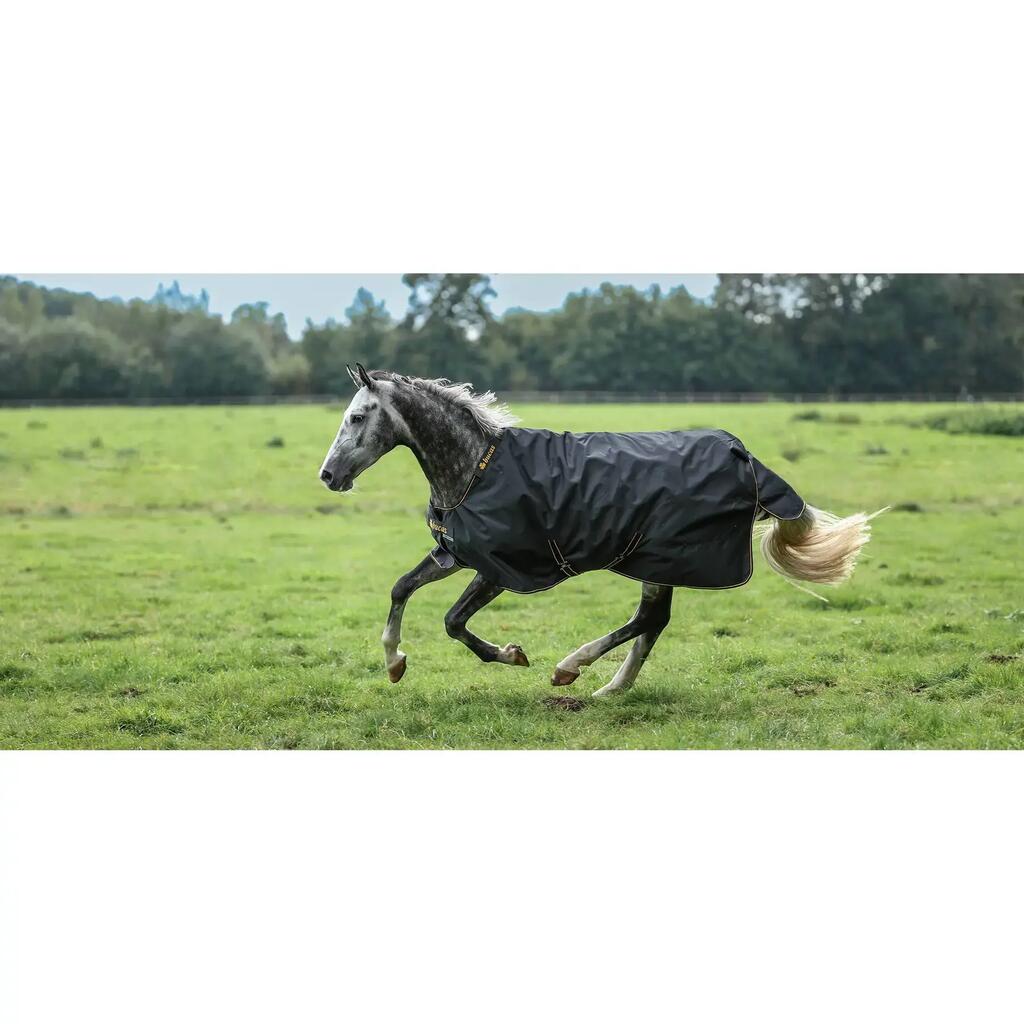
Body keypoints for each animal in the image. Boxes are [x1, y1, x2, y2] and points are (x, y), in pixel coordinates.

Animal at [318, 364, 878, 697]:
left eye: (358, 416)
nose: (328, 475)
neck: (476, 466)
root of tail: (749, 461)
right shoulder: (457, 553)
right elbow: (401, 588)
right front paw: (394, 662)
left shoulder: (501, 567)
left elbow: (454, 621)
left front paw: (512, 655)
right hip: (658, 559)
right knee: (654, 622)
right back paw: (611, 687)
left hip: (658, 557)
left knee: (649, 618)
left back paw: (572, 667)